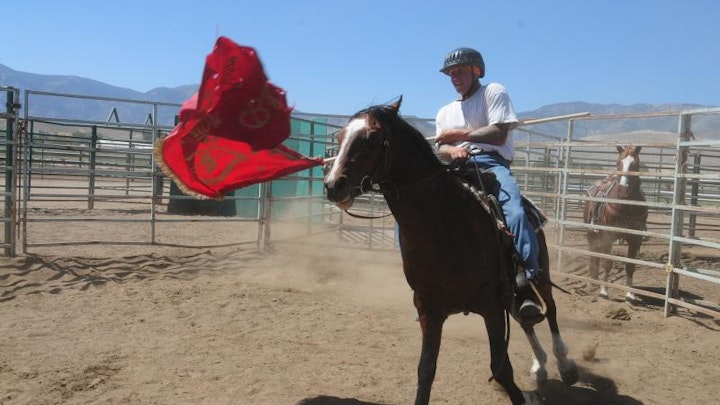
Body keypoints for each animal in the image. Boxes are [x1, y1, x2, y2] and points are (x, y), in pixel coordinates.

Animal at [324, 98, 577, 405]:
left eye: (371, 137)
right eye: (340, 137)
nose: (333, 185)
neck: (445, 225)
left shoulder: (491, 306)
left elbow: (502, 369)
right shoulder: (430, 309)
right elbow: (426, 371)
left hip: (538, 271)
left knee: (549, 309)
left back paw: (564, 363)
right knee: (525, 319)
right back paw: (539, 365)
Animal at [583, 145, 648, 301]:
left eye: (635, 164)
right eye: (618, 162)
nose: (623, 189)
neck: (626, 206)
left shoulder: (636, 239)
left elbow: (630, 266)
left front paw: (630, 294)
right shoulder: (608, 236)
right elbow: (607, 263)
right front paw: (604, 291)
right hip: (591, 232)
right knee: (592, 252)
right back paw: (592, 281)